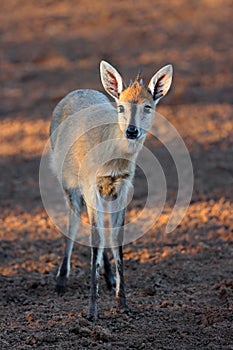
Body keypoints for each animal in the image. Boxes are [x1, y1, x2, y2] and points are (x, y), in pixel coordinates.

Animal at [49, 60, 173, 320]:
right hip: (67, 180)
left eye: (148, 106)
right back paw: (61, 280)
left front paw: (122, 303)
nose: (132, 131)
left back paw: (108, 278)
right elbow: (95, 238)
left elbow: (117, 237)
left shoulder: (123, 186)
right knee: (74, 220)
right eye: (121, 107)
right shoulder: (89, 182)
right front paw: (91, 311)